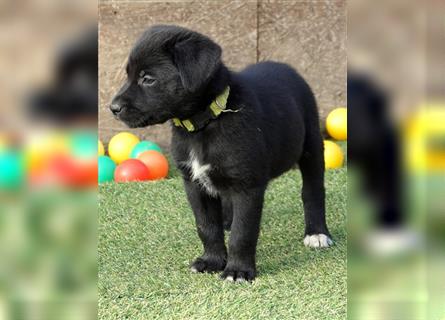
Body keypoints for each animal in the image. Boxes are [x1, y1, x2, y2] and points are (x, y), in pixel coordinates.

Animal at [110, 25, 332, 282]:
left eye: (148, 79)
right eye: (128, 75)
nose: (113, 108)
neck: (204, 125)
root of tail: (286, 67)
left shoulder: (248, 186)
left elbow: (243, 233)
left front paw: (238, 270)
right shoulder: (194, 183)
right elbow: (206, 226)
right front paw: (212, 260)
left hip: (311, 145)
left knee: (313, 191)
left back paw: (317, 233)